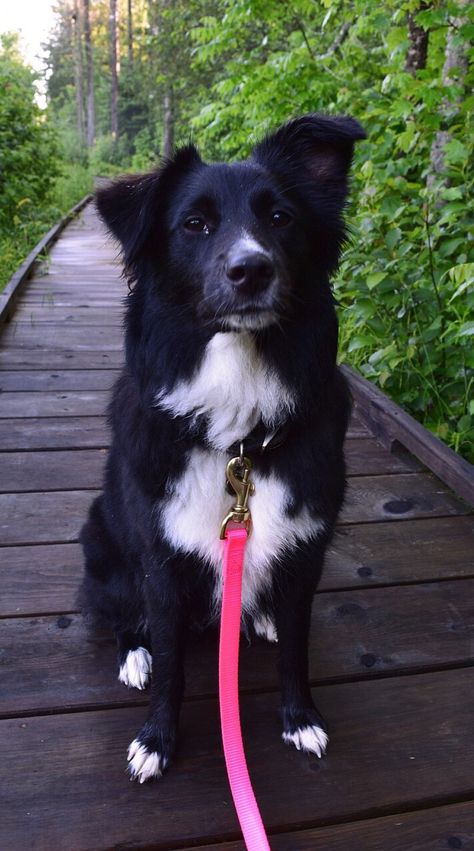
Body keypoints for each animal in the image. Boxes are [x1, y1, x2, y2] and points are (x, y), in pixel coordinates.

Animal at [79, 115, 364, 784]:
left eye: (281, 218)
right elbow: (172, 664)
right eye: (194, 224)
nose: (251, 270)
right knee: (118, 612)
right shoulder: (160, 556)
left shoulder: (306, 550)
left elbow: (297, 649)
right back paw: (133, 654)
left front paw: (299, 718)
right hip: (101, 537)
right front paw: (156, 740)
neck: (238, 434)